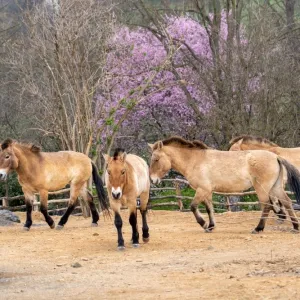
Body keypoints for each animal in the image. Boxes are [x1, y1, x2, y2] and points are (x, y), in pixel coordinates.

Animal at [149, 137, 300, 233]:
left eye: (156, 159)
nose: (152, 180)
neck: (196, 160)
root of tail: (276, 157)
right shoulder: (207, 192)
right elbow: (209, 209)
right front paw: (211, 226)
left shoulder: (202, 190)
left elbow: (193, 207)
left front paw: (204, 224)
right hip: (276, 187)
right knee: (286, 202)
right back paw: (295, 226)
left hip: (262, 188)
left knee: (267, 205)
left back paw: (258, 228)